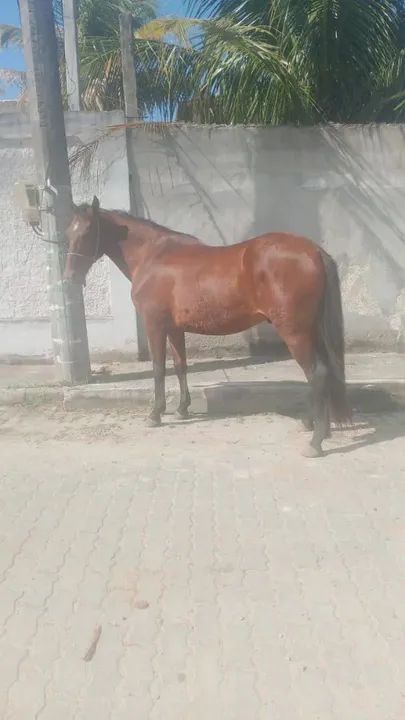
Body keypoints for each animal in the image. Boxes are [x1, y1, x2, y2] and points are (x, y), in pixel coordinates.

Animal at [64, 196, 350, 457]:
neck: (153, 256)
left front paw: (155, 413)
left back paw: (315, 441)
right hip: (313, 330)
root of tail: (313, 251)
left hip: (295, 332)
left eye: (87, 231)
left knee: (316, 374)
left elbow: (158, 368)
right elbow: (180, 366)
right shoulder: (175, 328)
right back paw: (319, 427)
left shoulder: (154, 324)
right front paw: (182, 409)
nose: (69, 277)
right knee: (325, 373)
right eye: (69, 232)